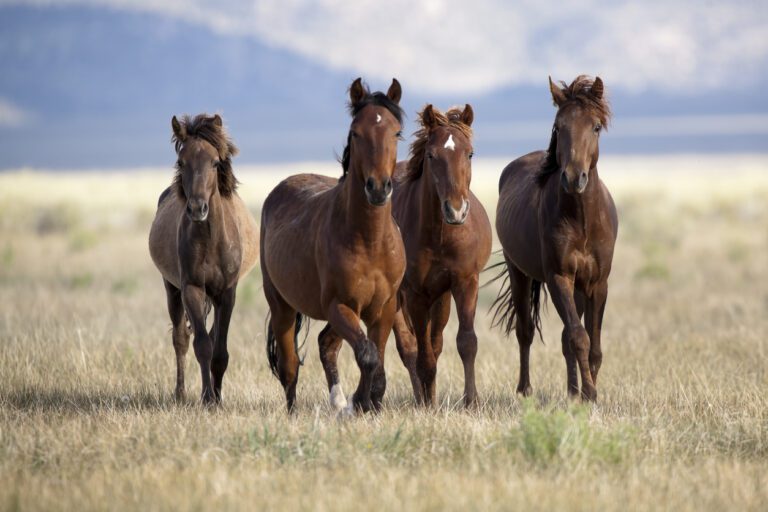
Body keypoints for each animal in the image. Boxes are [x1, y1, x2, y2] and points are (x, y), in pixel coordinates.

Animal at [148, 113, 259, 404]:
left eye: (215, 162)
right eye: (181, 162)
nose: (198, 208)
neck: (210, 240)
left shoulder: (226, 293)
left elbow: (219, 351)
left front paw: (217, 397)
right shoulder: (192, 289)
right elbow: (202, 346)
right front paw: (208, 398)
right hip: (171, 289)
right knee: (181, 339)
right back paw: (181, 393)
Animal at [260, 78, 406, 413]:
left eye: (396, 132)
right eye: (356, 132)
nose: (378, 188)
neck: (370, 242)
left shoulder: (383, 308)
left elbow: (376, 357)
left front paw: (367, 403)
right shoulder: (340, 306)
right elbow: (368, 355)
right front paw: (360, 402)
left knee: (326, 345)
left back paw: (339, 404)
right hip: (282, 306)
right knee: (290, 366)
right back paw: (296, 413)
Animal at [389, 104, 492, 407]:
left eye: (470, 153)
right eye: (431, 155)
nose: (456, 210)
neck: (440, 235)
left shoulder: (464, 282)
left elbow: (466, 342)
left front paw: (471, 401)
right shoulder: (415, 294)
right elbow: (422, 355)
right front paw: (427, 406)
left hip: (441, 298)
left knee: (435, 344)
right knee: (410, 347)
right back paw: (422, 399)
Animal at [493, 76, 617, 401]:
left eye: (595, 126)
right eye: (558, 127)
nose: (574, 178)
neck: (582, 220)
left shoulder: (597, 283)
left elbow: (593, 345)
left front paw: (586, 392)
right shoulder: (559, 277)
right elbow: (579, 337)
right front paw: (589, 394)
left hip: (578, 287)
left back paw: (571, 391)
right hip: (519, 272)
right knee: (525, 332)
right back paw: (525, 389)